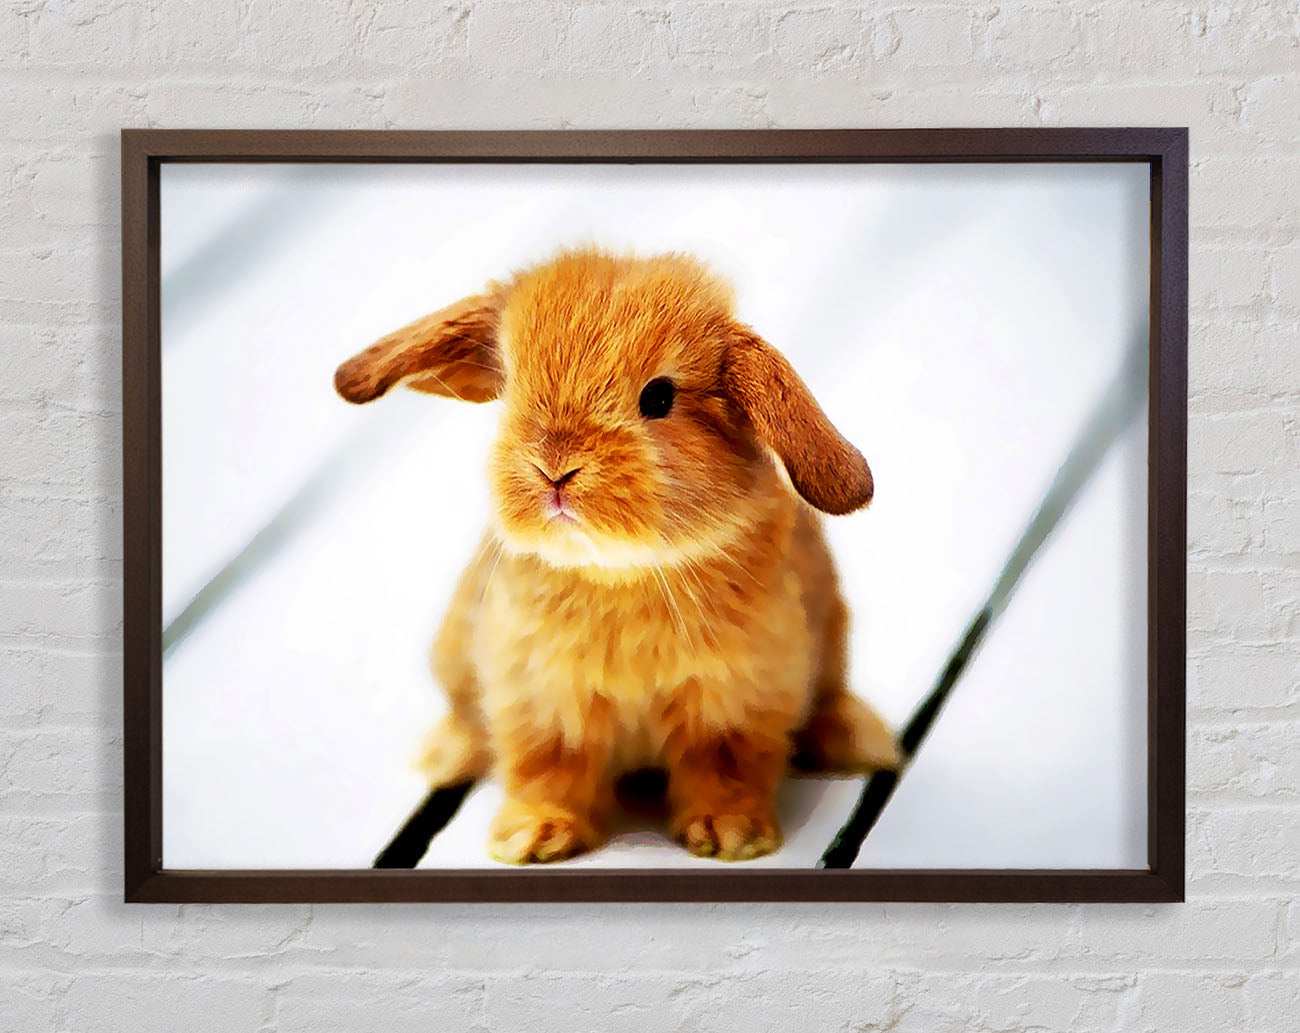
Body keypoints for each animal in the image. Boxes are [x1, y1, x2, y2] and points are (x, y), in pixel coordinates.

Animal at [334, 247, 899, 864]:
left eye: (659, 397)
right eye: (510, 385)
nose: (555, 469)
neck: (621, 572)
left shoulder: (736, 701)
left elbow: (724, 767)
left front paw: (731, 834)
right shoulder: (540, 700)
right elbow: (547, 769)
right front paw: (531, 838)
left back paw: (859, 740)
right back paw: (443, 756)